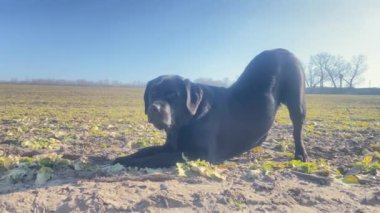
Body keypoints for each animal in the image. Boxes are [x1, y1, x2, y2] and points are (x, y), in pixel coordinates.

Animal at [113, 48, 308, 168]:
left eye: (173, 95)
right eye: (153, 93)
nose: (154, 108)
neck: (188, 121)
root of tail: (282, 50)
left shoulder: (199, 153)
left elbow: (156, 158)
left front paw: (130, 163)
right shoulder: (170, 145)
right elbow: (145, 150)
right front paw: (124, 157)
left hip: (296, 103)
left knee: (297, 130)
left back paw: (301, 155)